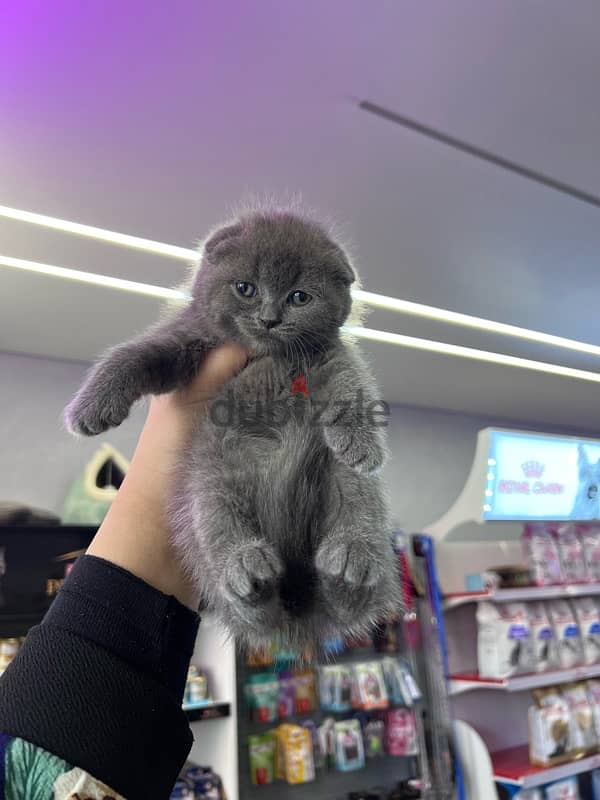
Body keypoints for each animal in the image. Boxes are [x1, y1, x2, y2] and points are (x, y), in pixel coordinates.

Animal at [65, 211, 398, 648]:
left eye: (300, 297)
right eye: (245, 288)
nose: (270, 318)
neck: (266, 356)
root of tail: (297, 602)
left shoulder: (330, 353)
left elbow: (351, 383)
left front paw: (362, 444)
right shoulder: (187, 337)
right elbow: (137, 354)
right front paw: (91, 406)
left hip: (342, 484)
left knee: (356, 519)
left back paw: (350, 565)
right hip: (208, 481)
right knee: (237, 575)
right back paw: (246, 572)